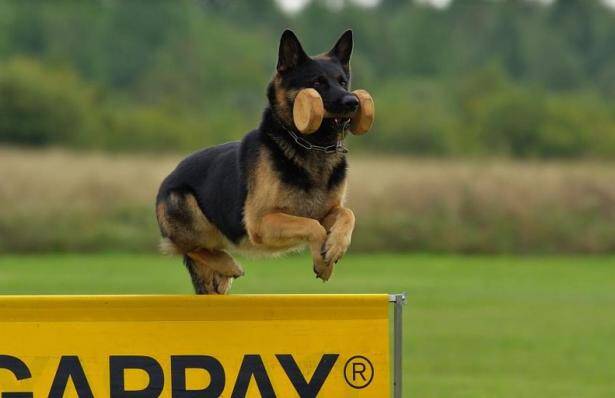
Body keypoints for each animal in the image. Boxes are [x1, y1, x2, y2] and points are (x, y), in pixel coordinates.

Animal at [156, 29, 358, 294]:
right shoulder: (262, 222)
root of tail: (168, 178)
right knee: (186, 247)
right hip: (184, 203)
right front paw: (322, 262)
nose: (353, 102)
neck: (308, 146)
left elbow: (347, 214)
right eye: (317, 83)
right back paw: (228, 265)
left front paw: (335, 247)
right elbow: (313, 227)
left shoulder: (326, 212)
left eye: (342, 82)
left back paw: (221, 275)